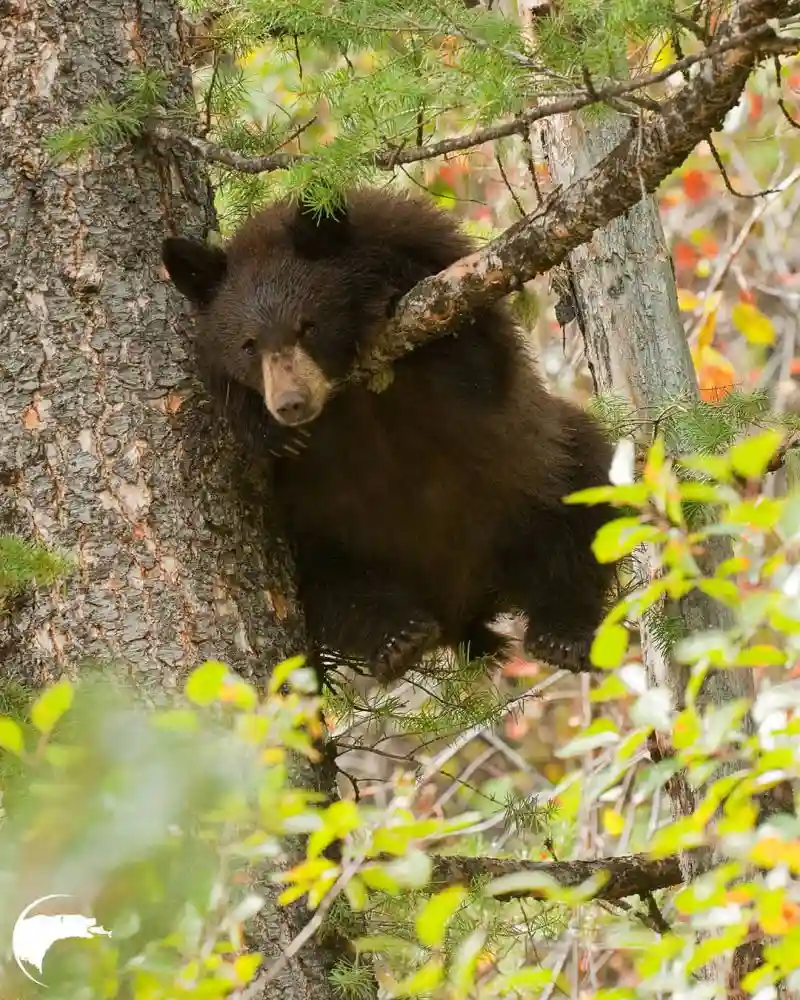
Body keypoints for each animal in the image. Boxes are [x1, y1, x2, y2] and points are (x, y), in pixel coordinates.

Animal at [159, 186, 616, 688]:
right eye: (248, 344)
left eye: (307, 326)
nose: (290, 403)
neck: (353, 392)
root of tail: (461, 610)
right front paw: (268, 429)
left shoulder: (445, 276)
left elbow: (478, 364)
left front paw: (385, 296)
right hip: (325, 538)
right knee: (333, 588)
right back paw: (398, 638)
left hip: (532, 476)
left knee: (584, 507)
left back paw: (562, 632)